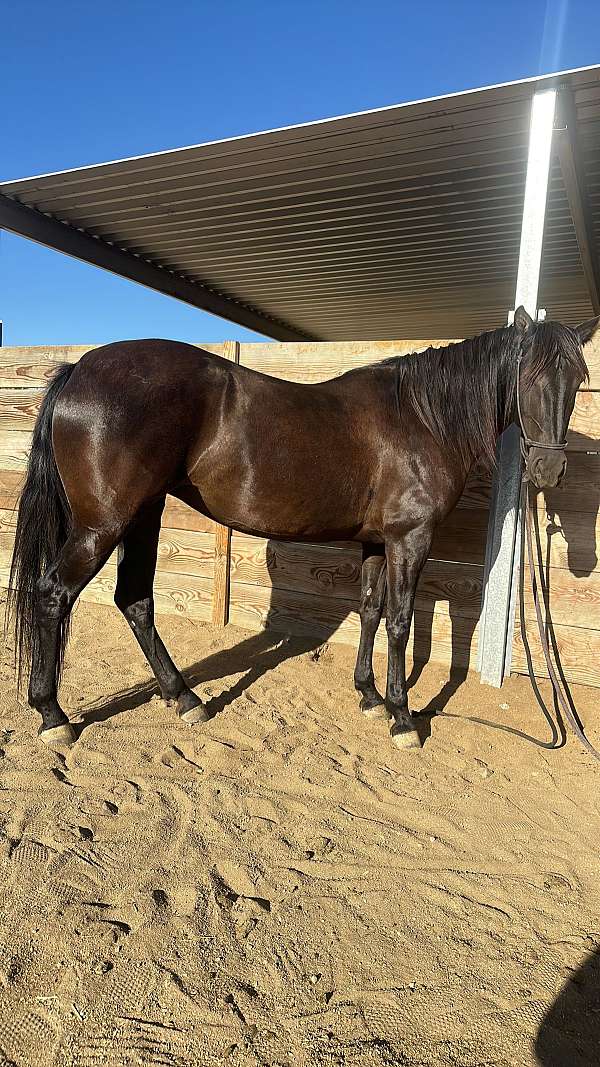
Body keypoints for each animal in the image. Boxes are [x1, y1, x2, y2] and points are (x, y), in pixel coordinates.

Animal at [7, 309, 593, 751]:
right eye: (529, 375)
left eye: (578, 380)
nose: (548, 470)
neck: (422, 418)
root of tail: (80, 368)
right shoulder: (409, 538)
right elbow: (400, 622)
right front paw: (403, 718)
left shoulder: (375, 542)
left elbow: (371, 611)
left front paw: (368, 697)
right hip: (103, 525)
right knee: (53, 593)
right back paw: (53, 715)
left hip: (143, 516)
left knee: (135, 599)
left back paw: (184, 699)